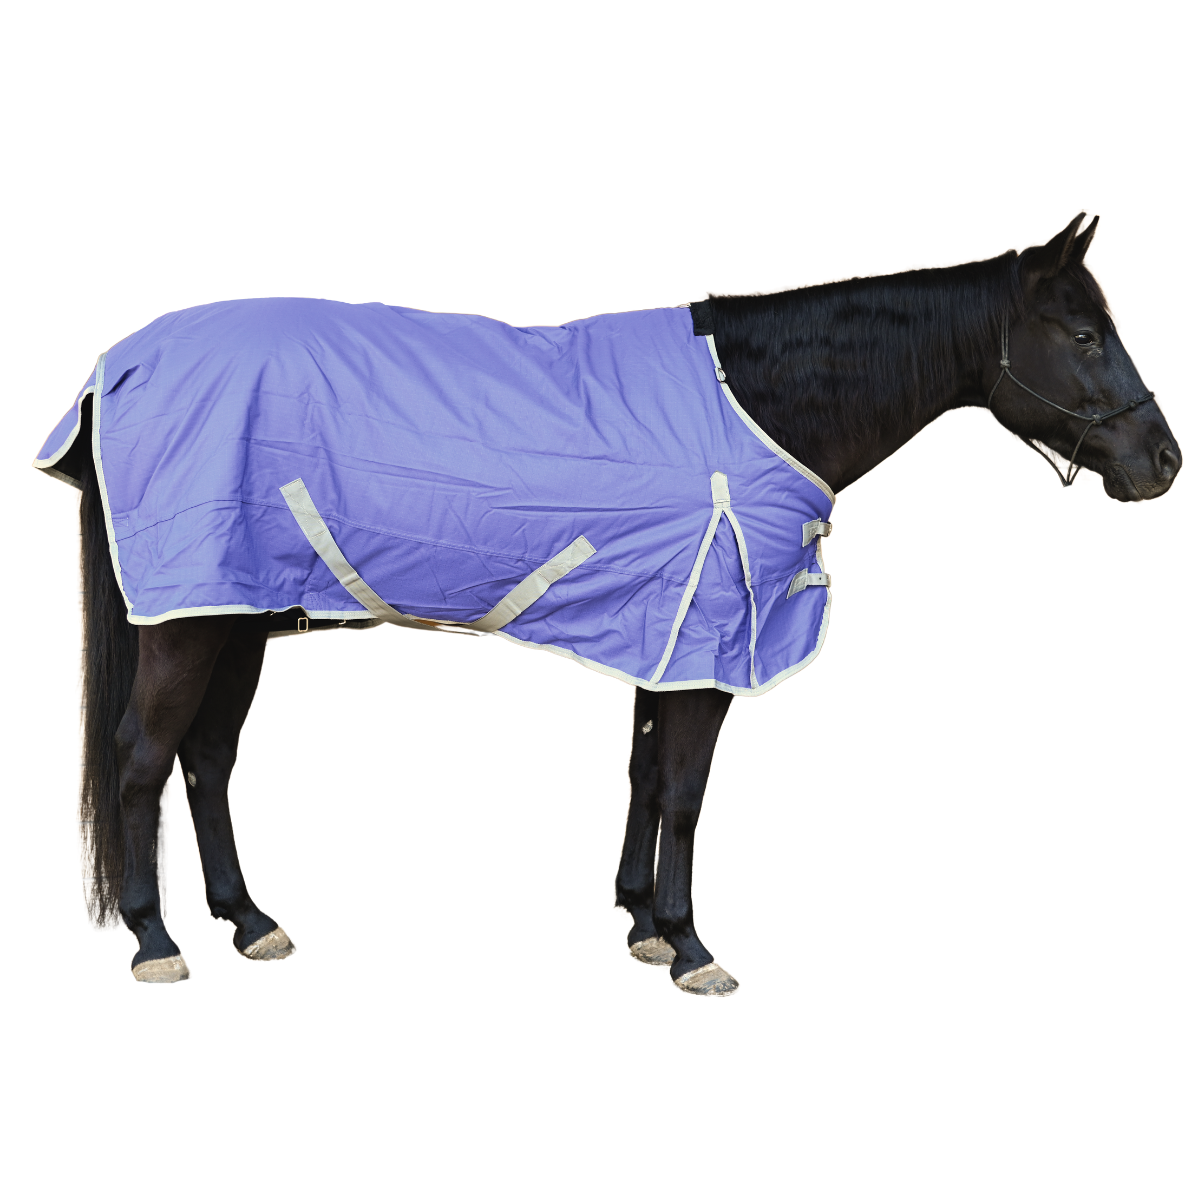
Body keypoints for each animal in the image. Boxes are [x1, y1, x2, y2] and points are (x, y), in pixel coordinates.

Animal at [38, 213, 1181, 992]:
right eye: (1084, 334)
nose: (1162, 462)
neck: (762, 404)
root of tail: (117, 368)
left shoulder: (662, 629)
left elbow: (642, 774)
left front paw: (638, 921)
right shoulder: (712, 638)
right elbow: (685, 789)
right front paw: (691, 945)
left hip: (239, 616)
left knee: (205, 759)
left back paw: (248, 920)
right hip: (190, 623)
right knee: (142, 759)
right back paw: (155, 939)